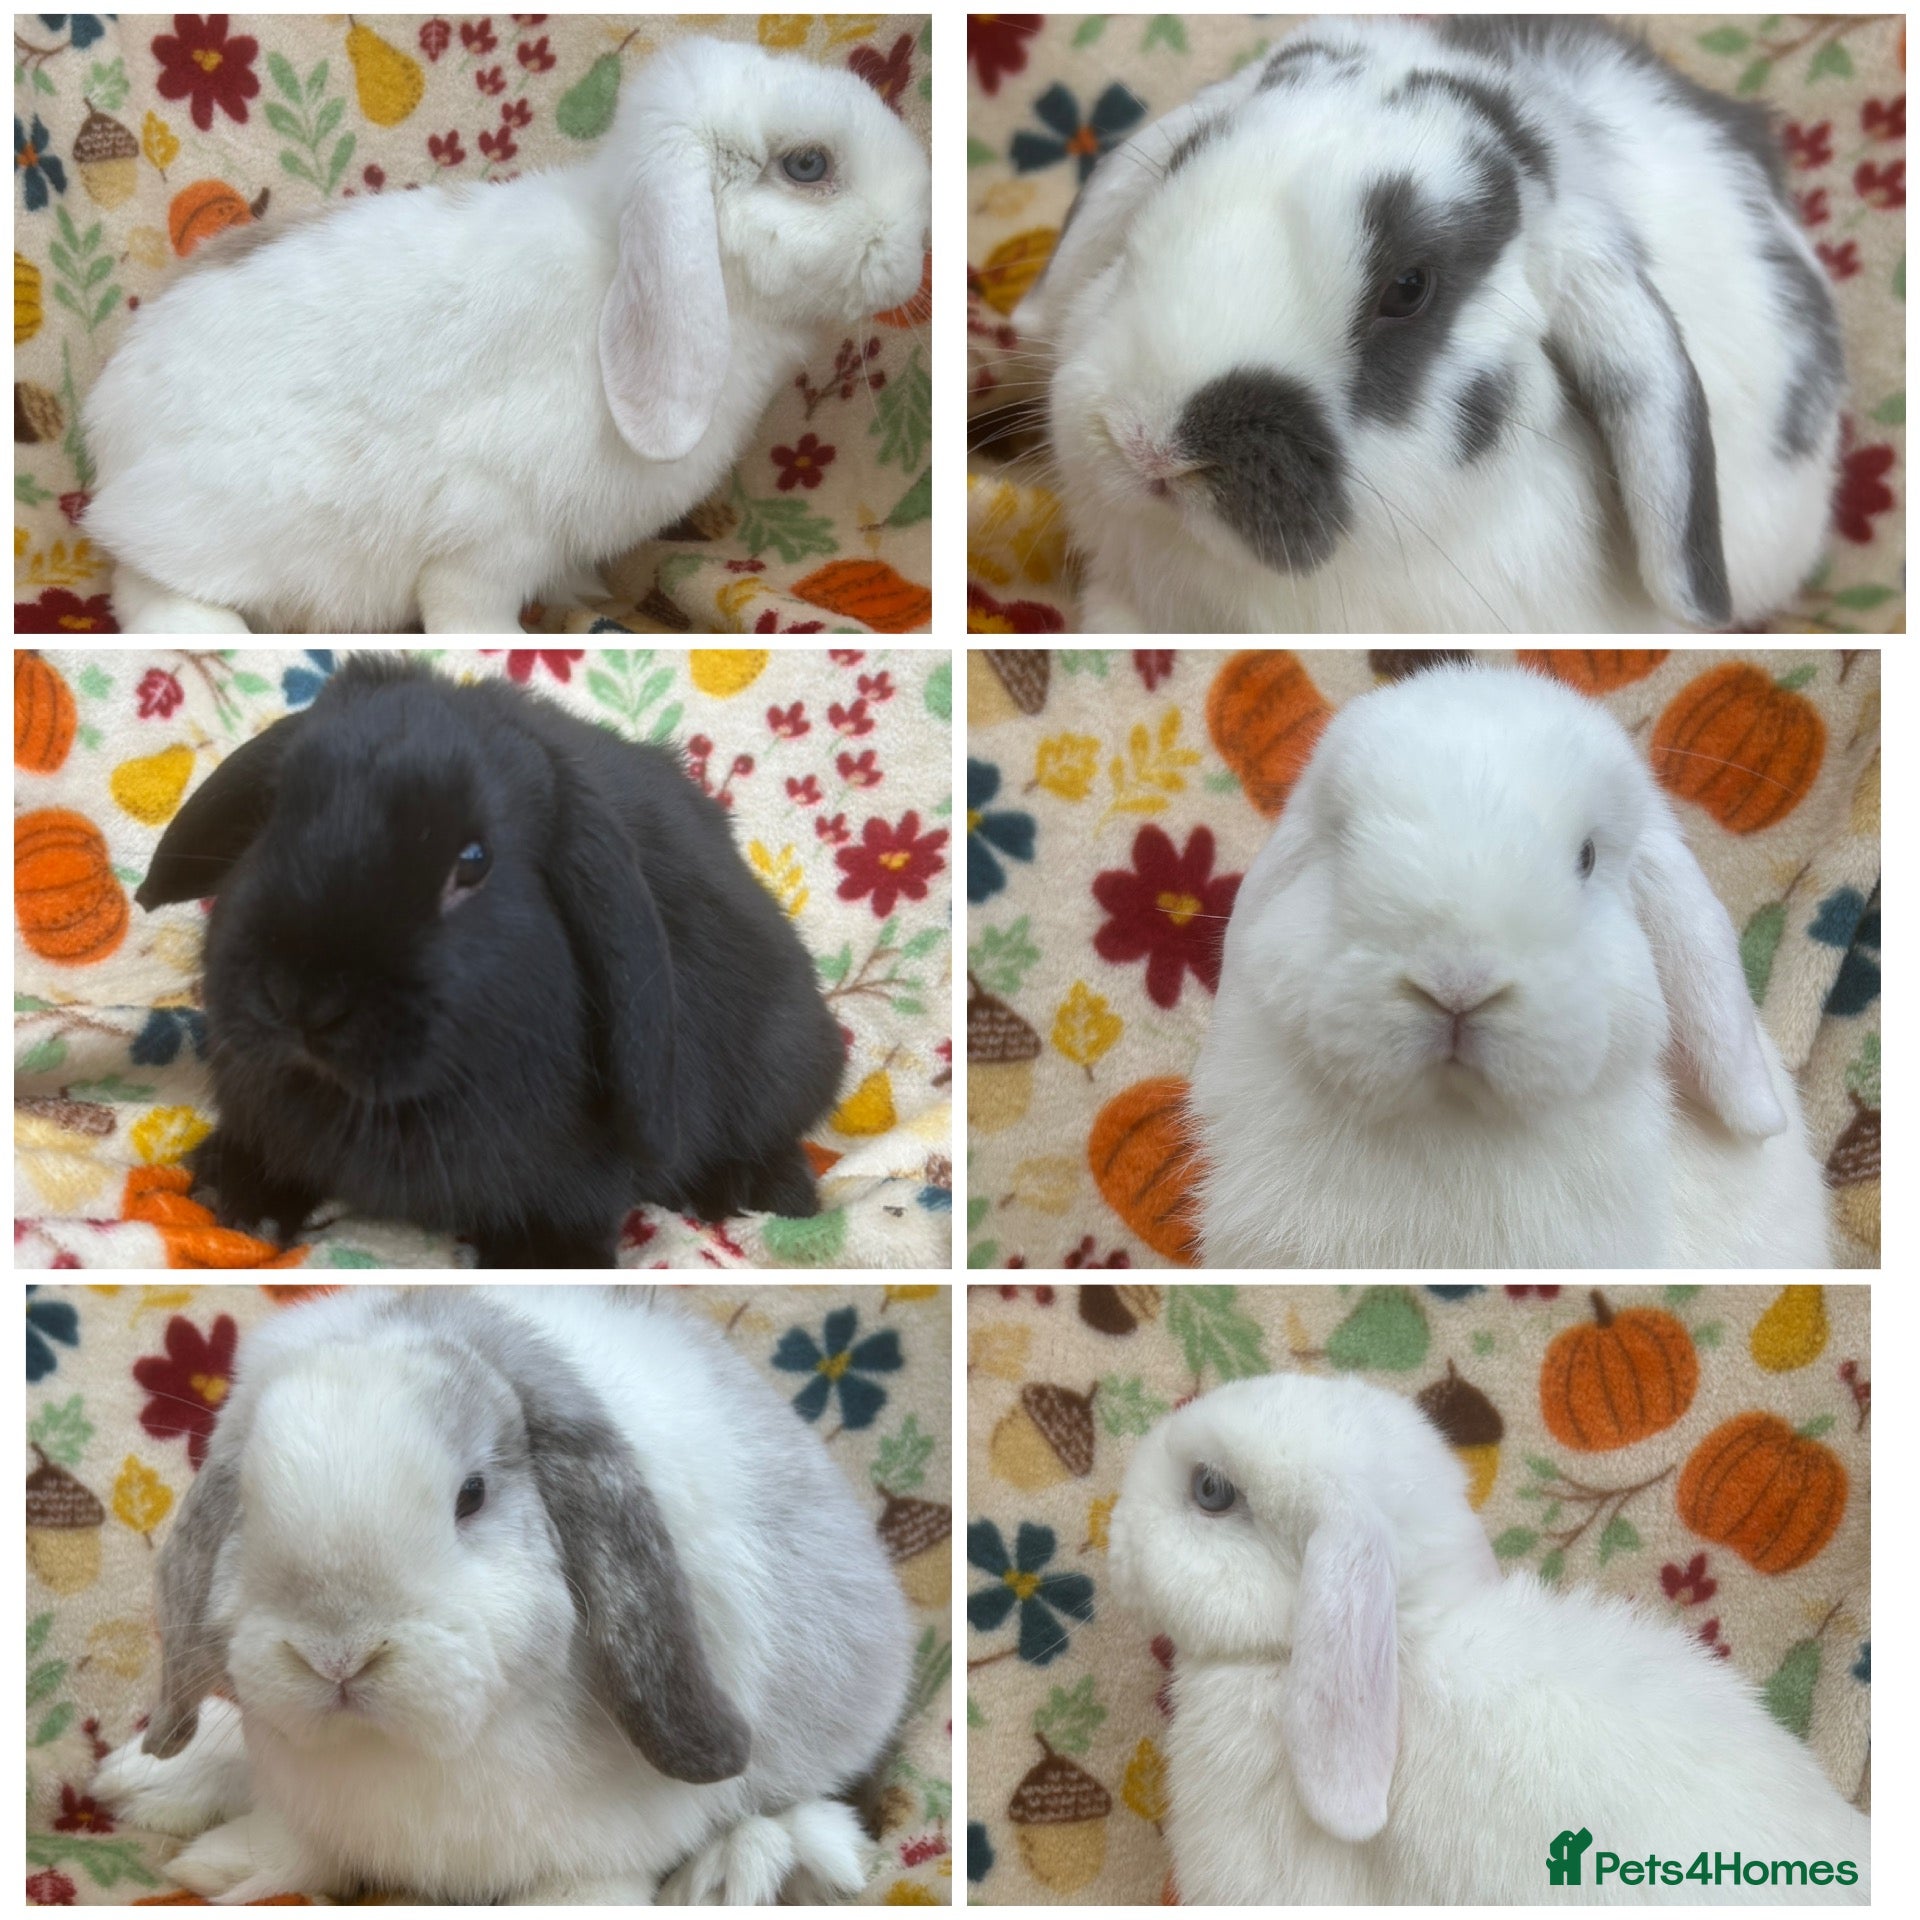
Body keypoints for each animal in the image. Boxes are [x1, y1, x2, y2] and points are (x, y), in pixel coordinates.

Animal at [82, 35, 929, 634]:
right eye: (808, 164)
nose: (915, 245)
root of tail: (106, 432)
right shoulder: (492, 526)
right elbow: (467, 606)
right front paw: (504, 639)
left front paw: (584, 594)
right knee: (142, 584)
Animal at [91, 1285, 914, 1903]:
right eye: (248, 1502)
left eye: (472, 1496)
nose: (337, 1656)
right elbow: (300, 1848)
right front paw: (226, 1863)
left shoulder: (601, 1853)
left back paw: (743, 1870)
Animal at [133, 654, 845, 1266]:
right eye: (273, 809)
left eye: (473, 862)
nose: (299, 997)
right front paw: (230, 1196)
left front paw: (547, 1260)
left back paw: (759, 1194)